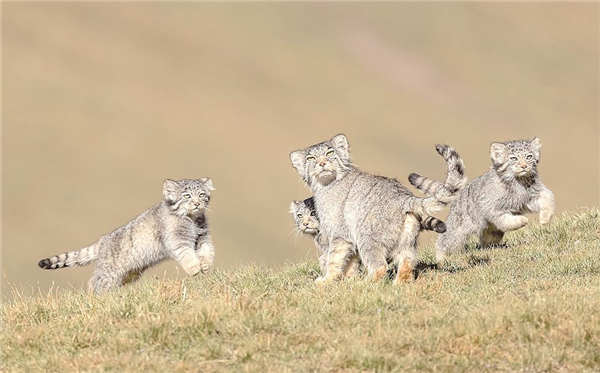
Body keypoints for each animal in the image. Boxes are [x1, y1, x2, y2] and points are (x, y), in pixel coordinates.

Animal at [37, 178, 216, 294]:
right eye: (186, 196)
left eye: (201, 194)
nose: (197, 204)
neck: (192, 220)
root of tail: (102, 241)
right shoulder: (177, 240)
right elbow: (186, 254)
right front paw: (194, 268)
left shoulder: (202, 238)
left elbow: (207, 250)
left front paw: (206, 264)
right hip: (108, 273)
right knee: (95, 284)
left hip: (128, 273)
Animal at [290, 134, 464, 282]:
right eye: (310, 158)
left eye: (330, 152)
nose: (322, 163)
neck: (326, 185)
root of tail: (403, 197)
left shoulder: (340, 234)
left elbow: (333, 259)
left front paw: (327, 281)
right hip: (406, 241)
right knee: (407, 262)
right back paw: (398, 285)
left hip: (366, 237)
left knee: (380, 267)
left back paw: (362, 286)